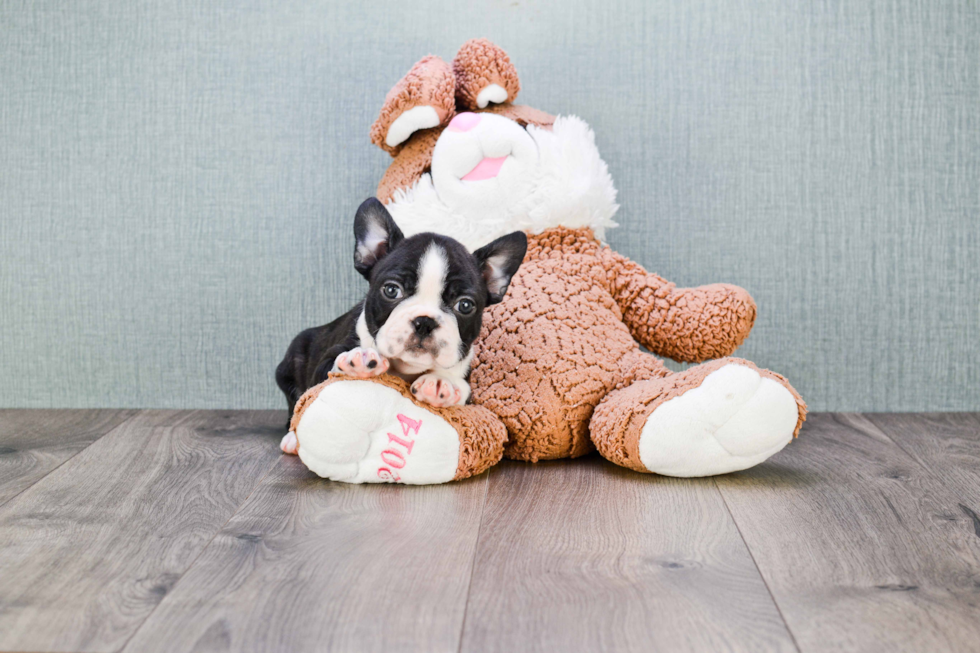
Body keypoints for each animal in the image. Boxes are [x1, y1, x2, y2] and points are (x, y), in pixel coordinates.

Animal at [276, 196, 528, 450]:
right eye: (391, 290)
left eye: (465, 305)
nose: (424, 321)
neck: (406, 369)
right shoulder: (326, 361)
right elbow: (326, 374)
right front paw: (359, 358)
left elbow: (461, 387)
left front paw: (441, 381)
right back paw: (292, 439)